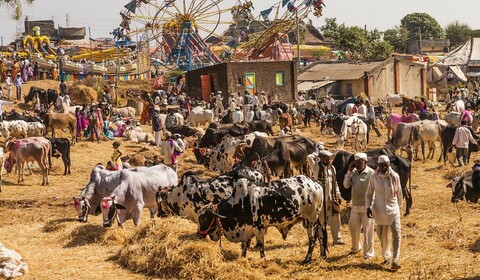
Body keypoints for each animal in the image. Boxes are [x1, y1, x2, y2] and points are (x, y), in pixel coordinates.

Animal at [195, 176, 326, 264]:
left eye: (204, 218)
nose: (199, 234)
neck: (240, 203)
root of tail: (315, 183)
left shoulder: (258, 227)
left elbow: (260, 245)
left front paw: (263, 260)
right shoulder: (246, 231)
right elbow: (244, 246)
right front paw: (243, 258)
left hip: (310, 220)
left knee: (312, 239)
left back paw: (307, 259)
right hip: (316, 220)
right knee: (321, 235)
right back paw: (322, 255)